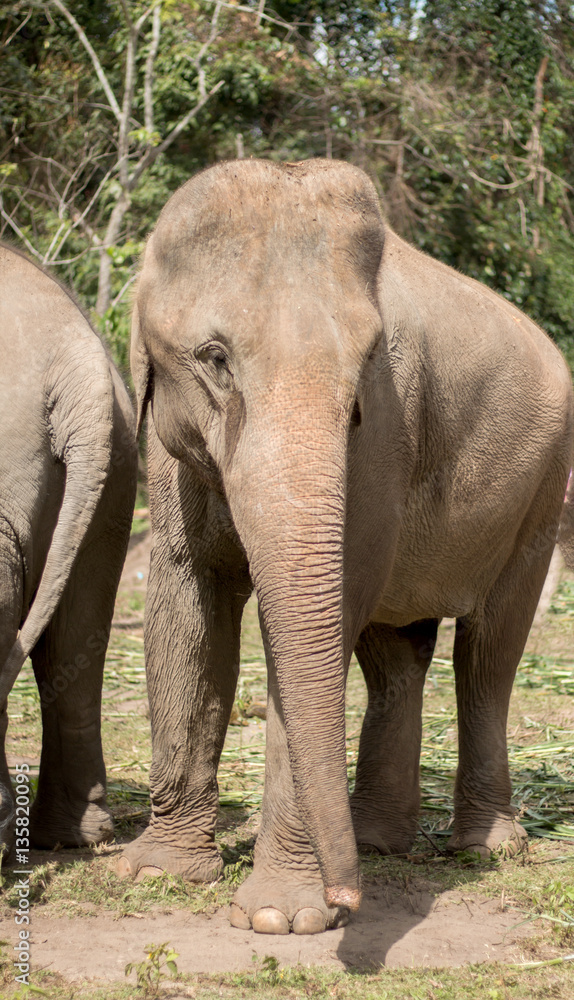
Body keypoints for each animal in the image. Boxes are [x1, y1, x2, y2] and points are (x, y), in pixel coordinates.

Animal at [120, 158, 573, 935]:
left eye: (364, 368)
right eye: (214, 358)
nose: (346, 899)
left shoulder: (384, 434)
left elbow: (326, 616)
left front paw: (282, 919)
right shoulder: (169, 449)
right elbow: (186, 605)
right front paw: (161, 873)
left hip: (542, 493)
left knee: (488, 655)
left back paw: (485, 849)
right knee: (398, 653)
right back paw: (375, 840)